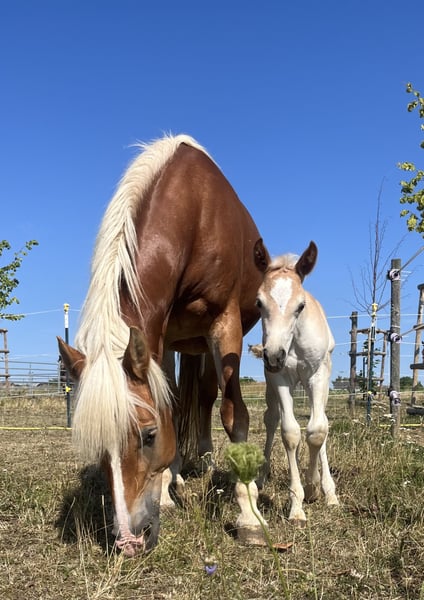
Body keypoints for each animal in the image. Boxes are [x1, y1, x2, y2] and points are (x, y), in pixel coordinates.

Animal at [58, 134, 271, 556]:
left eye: (149, 435)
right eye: (97, 448)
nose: (130, 541)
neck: (194, 207)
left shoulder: (225, 324)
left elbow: (233, 414)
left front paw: (250, 517)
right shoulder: (161, 335)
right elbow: (170, 403)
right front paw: (169, 491)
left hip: (207, 342)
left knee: (205, 397)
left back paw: (206, 461)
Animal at [252, 240, 339, 525]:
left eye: (300, 306)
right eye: (259, 303)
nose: (274, 355)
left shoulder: (317, 376)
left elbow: (317, 431)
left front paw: (313, 488)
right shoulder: (280, 379)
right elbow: (290, 433)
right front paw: (297, 505)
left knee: (322, 423)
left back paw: (329, 491)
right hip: (270, 387)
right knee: (271, 420)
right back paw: (261, 478)